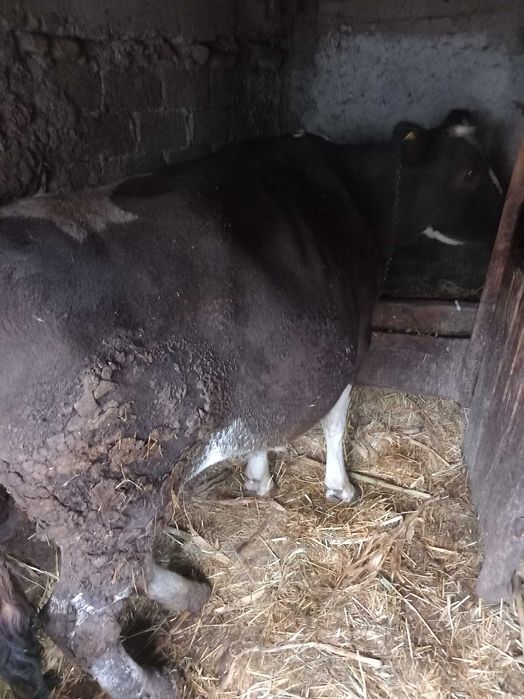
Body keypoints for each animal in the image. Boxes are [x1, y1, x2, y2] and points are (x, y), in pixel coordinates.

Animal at [0, 110, 502, 697]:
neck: (357, 191)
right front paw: (340, 487)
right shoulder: (348, 341)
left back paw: (186, 592)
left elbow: (266, 425)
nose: (506, 222)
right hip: (108, 486)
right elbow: (334, 421)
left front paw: (258, 479)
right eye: (470, 172)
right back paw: (154, 681)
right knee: (77, 617)